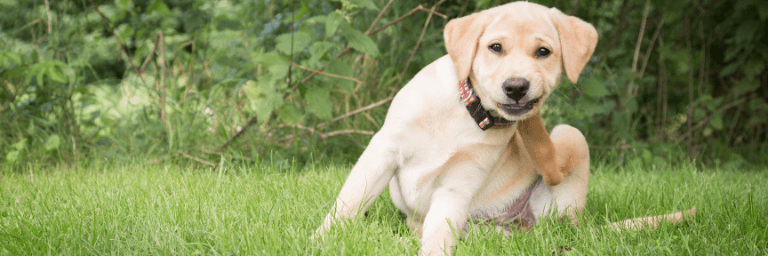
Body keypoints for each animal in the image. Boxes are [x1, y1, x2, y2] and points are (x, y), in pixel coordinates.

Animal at [316, 1, 596, 254]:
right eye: (495, 47)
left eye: (543, 52)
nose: (516, 87)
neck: (468, 112)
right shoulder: (384, 149)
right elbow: (350, 200)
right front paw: (322, 239)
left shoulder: (459, 183)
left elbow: (440, 230)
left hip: (569, 138)